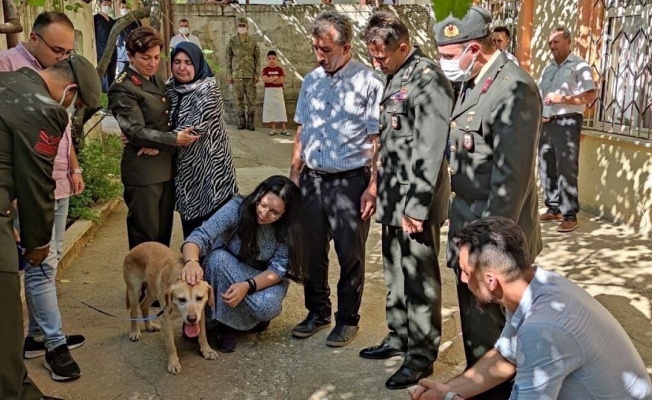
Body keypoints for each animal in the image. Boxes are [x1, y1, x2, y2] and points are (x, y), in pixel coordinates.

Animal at [119, 241, 216, 376]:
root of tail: (136, 247)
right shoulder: (166, 320)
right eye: (181, 299)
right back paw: (134, 332)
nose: (191, 319)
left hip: (152, 291)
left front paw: (207, 350)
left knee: (143, 305)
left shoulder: (200, 314)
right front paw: (173, 363)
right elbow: (171, 346)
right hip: (134, 291)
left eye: (199, 298)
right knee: (134, 312)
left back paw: (149, 326)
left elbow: (202, 335)